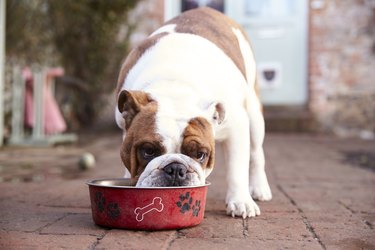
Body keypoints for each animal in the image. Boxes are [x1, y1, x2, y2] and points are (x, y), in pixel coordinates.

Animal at [116, 7, 272, 218]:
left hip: (254, 116)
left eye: (200, 154)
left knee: (256, 153)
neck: (175, 89)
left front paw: (241, 201)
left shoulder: (237, 128)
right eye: (148, 151)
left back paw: (259, 188)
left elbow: (237, 168)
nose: (175, 168)